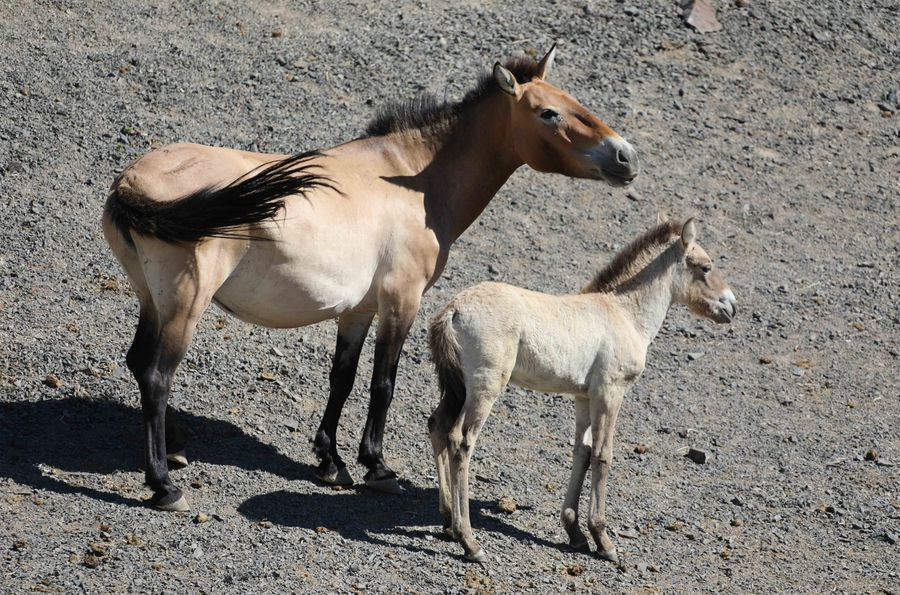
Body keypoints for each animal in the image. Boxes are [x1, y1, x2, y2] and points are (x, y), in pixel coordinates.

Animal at [102, 45, 640, 512]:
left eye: (575, 101)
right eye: (548, 113)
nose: (625, 157)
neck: (413, 181)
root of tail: (132, 180)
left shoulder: (358, 310)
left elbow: (342, 377)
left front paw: (330, 461)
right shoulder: (401, 301)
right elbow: (384, 381)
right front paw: (376, 466)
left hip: (154, 300)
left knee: (139, 363)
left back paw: (176, 449)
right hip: (185, 304)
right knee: (157, 377)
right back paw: (163, 484)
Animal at [428, 219, 740, 564]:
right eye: (705, 267)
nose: (731, 306)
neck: (624, 313)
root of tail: (453, 311)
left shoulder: (583, 396)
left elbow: (583, 452)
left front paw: (575, 532)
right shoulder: (609, 392)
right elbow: (603, 455)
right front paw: (603, 540)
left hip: (456, 387)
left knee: (438, 427)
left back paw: (447, 521)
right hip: (485, 387)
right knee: (461, 441)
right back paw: (469, 541)